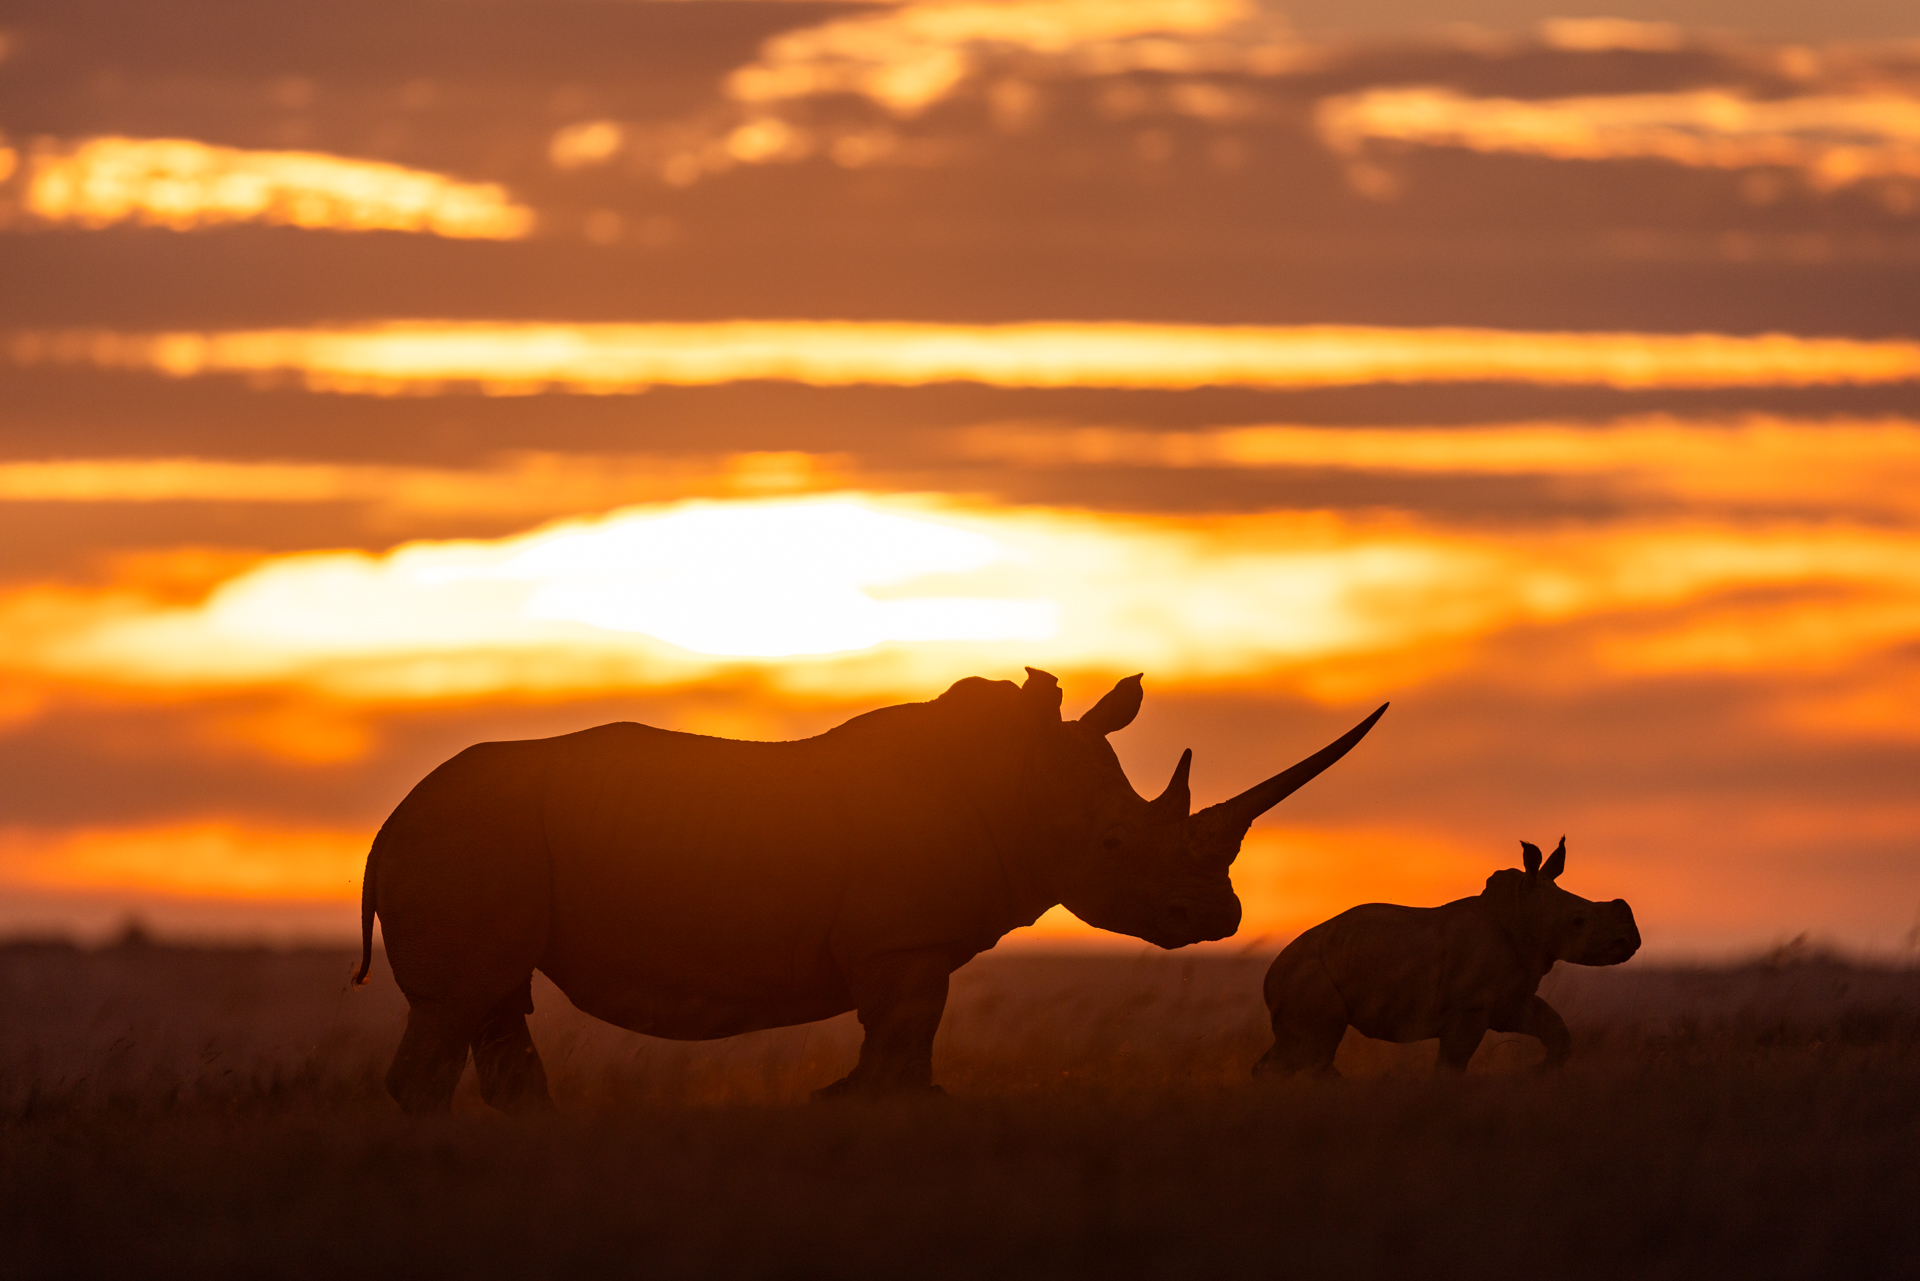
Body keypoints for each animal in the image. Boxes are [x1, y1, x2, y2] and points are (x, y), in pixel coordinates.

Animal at [354, 668, 1387, 1113]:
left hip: (481, 839)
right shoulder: (905, 942)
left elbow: (905, 1034)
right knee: (461, 999)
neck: (1026, 781)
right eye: (1117, 842)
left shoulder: (907, 944)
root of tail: (386, 825)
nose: (1219, 918)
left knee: (493, 998)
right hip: (468, 838)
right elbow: (903, 1028)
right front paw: (869, 1103)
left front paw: (873, 1099)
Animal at [1254, 837, 1639, 1077]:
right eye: (1578, 921)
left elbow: (1558, 1033)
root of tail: (1271, 972)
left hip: (1307, 970)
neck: (1521, 911)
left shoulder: (1509, 1000)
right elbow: (1452, 1064)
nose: (1630, 941)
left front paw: (1533, 1073)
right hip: (1306, 971)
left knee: (1295, 1046)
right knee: (1317, 1042)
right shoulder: (1468, 1007)